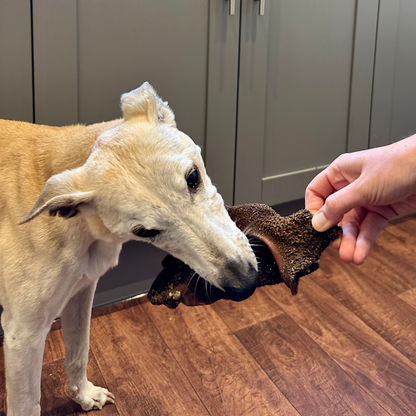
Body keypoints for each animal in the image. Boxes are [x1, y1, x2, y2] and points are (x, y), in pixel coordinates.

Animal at [0, 82, 258, 416]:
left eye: (193, 177)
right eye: (145, 232)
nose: (246, 284)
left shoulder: (80, 294)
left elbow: (78, 351)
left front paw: (84, 396)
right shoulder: (23, 334)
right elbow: (27, 404)